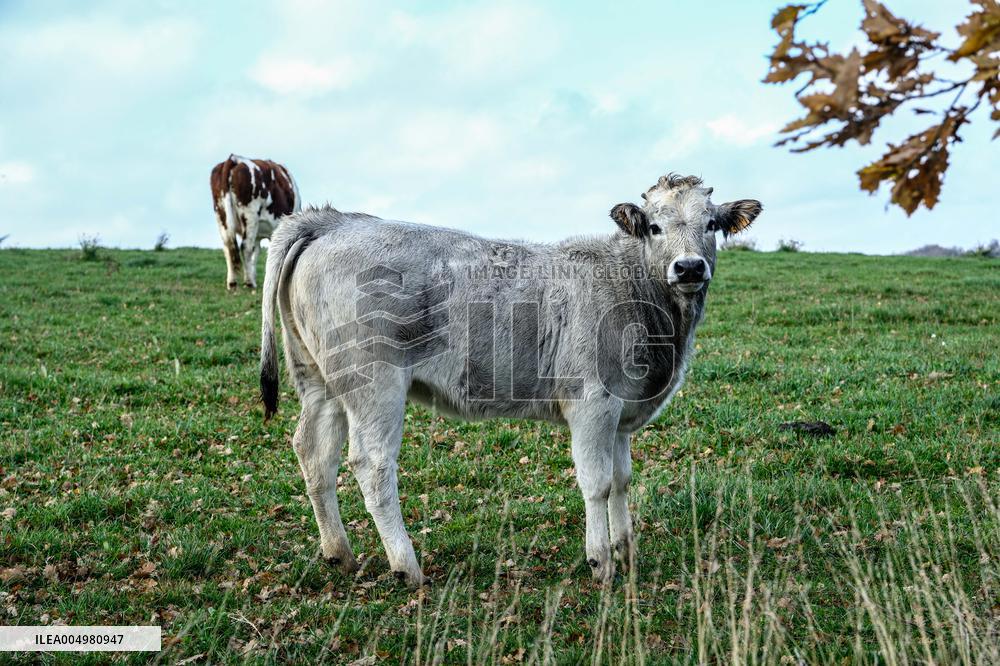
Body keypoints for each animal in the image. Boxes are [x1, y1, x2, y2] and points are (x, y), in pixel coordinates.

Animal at [210, 154, 300, 290]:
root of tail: (234, 158)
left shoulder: (259, 235)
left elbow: (256, 252)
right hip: (250, 214)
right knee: (245, 246)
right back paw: (249, 282)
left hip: (221, 214)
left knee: (228, 246)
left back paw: (232, 282)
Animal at [259, 174, 761, 588]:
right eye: (655, 227)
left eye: (712, 224)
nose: (689, 267)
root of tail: (332, 220)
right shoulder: (592, 404)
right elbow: (596, 482)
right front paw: (600, 561)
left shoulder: (622, 412)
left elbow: (621, 480)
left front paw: (626, 550)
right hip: (373, 382)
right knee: (372, 464)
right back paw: (407, 566)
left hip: (320, 380)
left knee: (314, 452)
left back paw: (339, 554)